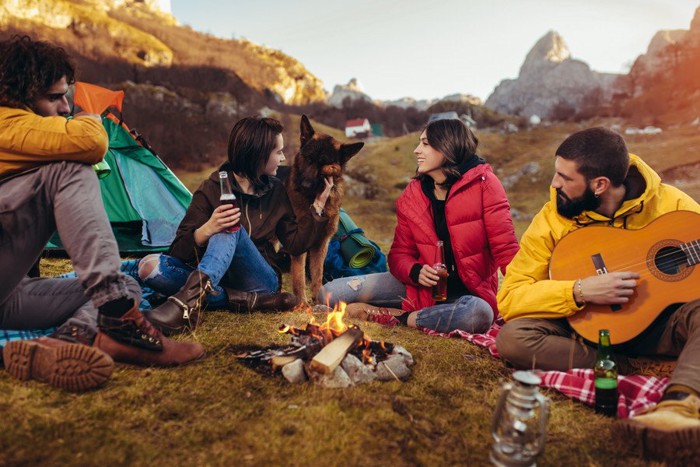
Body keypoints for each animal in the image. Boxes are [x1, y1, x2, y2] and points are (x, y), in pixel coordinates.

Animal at [288, 115, 366, 302]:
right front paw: (302, 303)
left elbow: (317, 275)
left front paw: (318, 300)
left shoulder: (321, 244)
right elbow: (299, 279)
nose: (305, 186)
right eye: (308, 159)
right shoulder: (299, 247)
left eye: (325, 165)